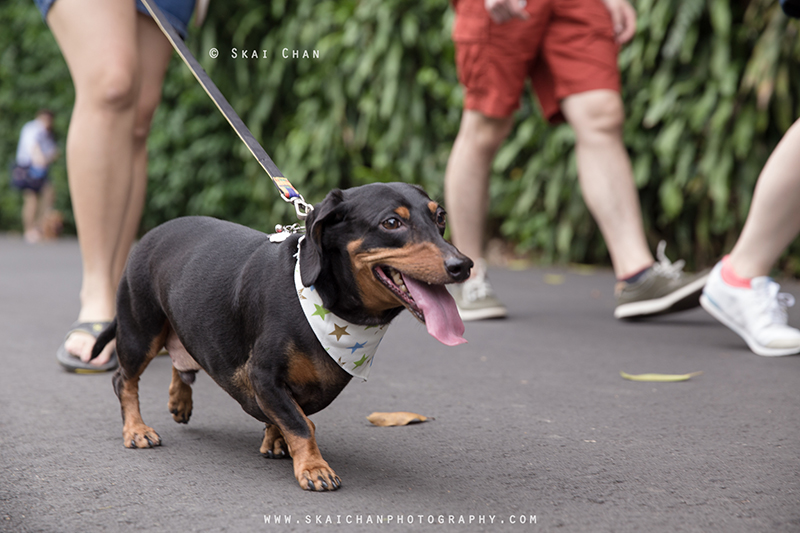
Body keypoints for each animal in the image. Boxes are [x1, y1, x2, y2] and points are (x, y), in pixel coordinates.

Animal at [90, 182, 472, 490]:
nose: (463, 266)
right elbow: (301, 424)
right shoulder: (263, 376)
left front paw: (275, 440)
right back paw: (136, 430)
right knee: (123, 380)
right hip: (141, 331)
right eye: (392, 223)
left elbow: (294, 416)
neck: (320, 300)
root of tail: (151, 235)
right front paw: (314, 468)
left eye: (440, 217)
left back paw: (179, 400)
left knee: (182, 362)